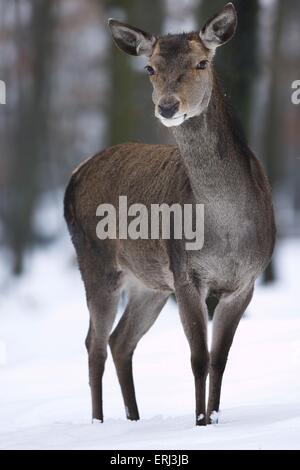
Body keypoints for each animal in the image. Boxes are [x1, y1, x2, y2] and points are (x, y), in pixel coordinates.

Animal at [64, 1, 276, 426]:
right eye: (149, 67)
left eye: (201, 62)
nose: (167, 106)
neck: (228, 230)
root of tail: (76, 172)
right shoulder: (186, 274)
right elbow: (198, 358)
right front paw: (199, 422)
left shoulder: (246, 281)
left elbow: (220, 359)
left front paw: (214, 418)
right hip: (96, 261)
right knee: (95, 342)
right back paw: (98, 422)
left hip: (149, 283)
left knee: (120, 340)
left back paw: (134, 418)